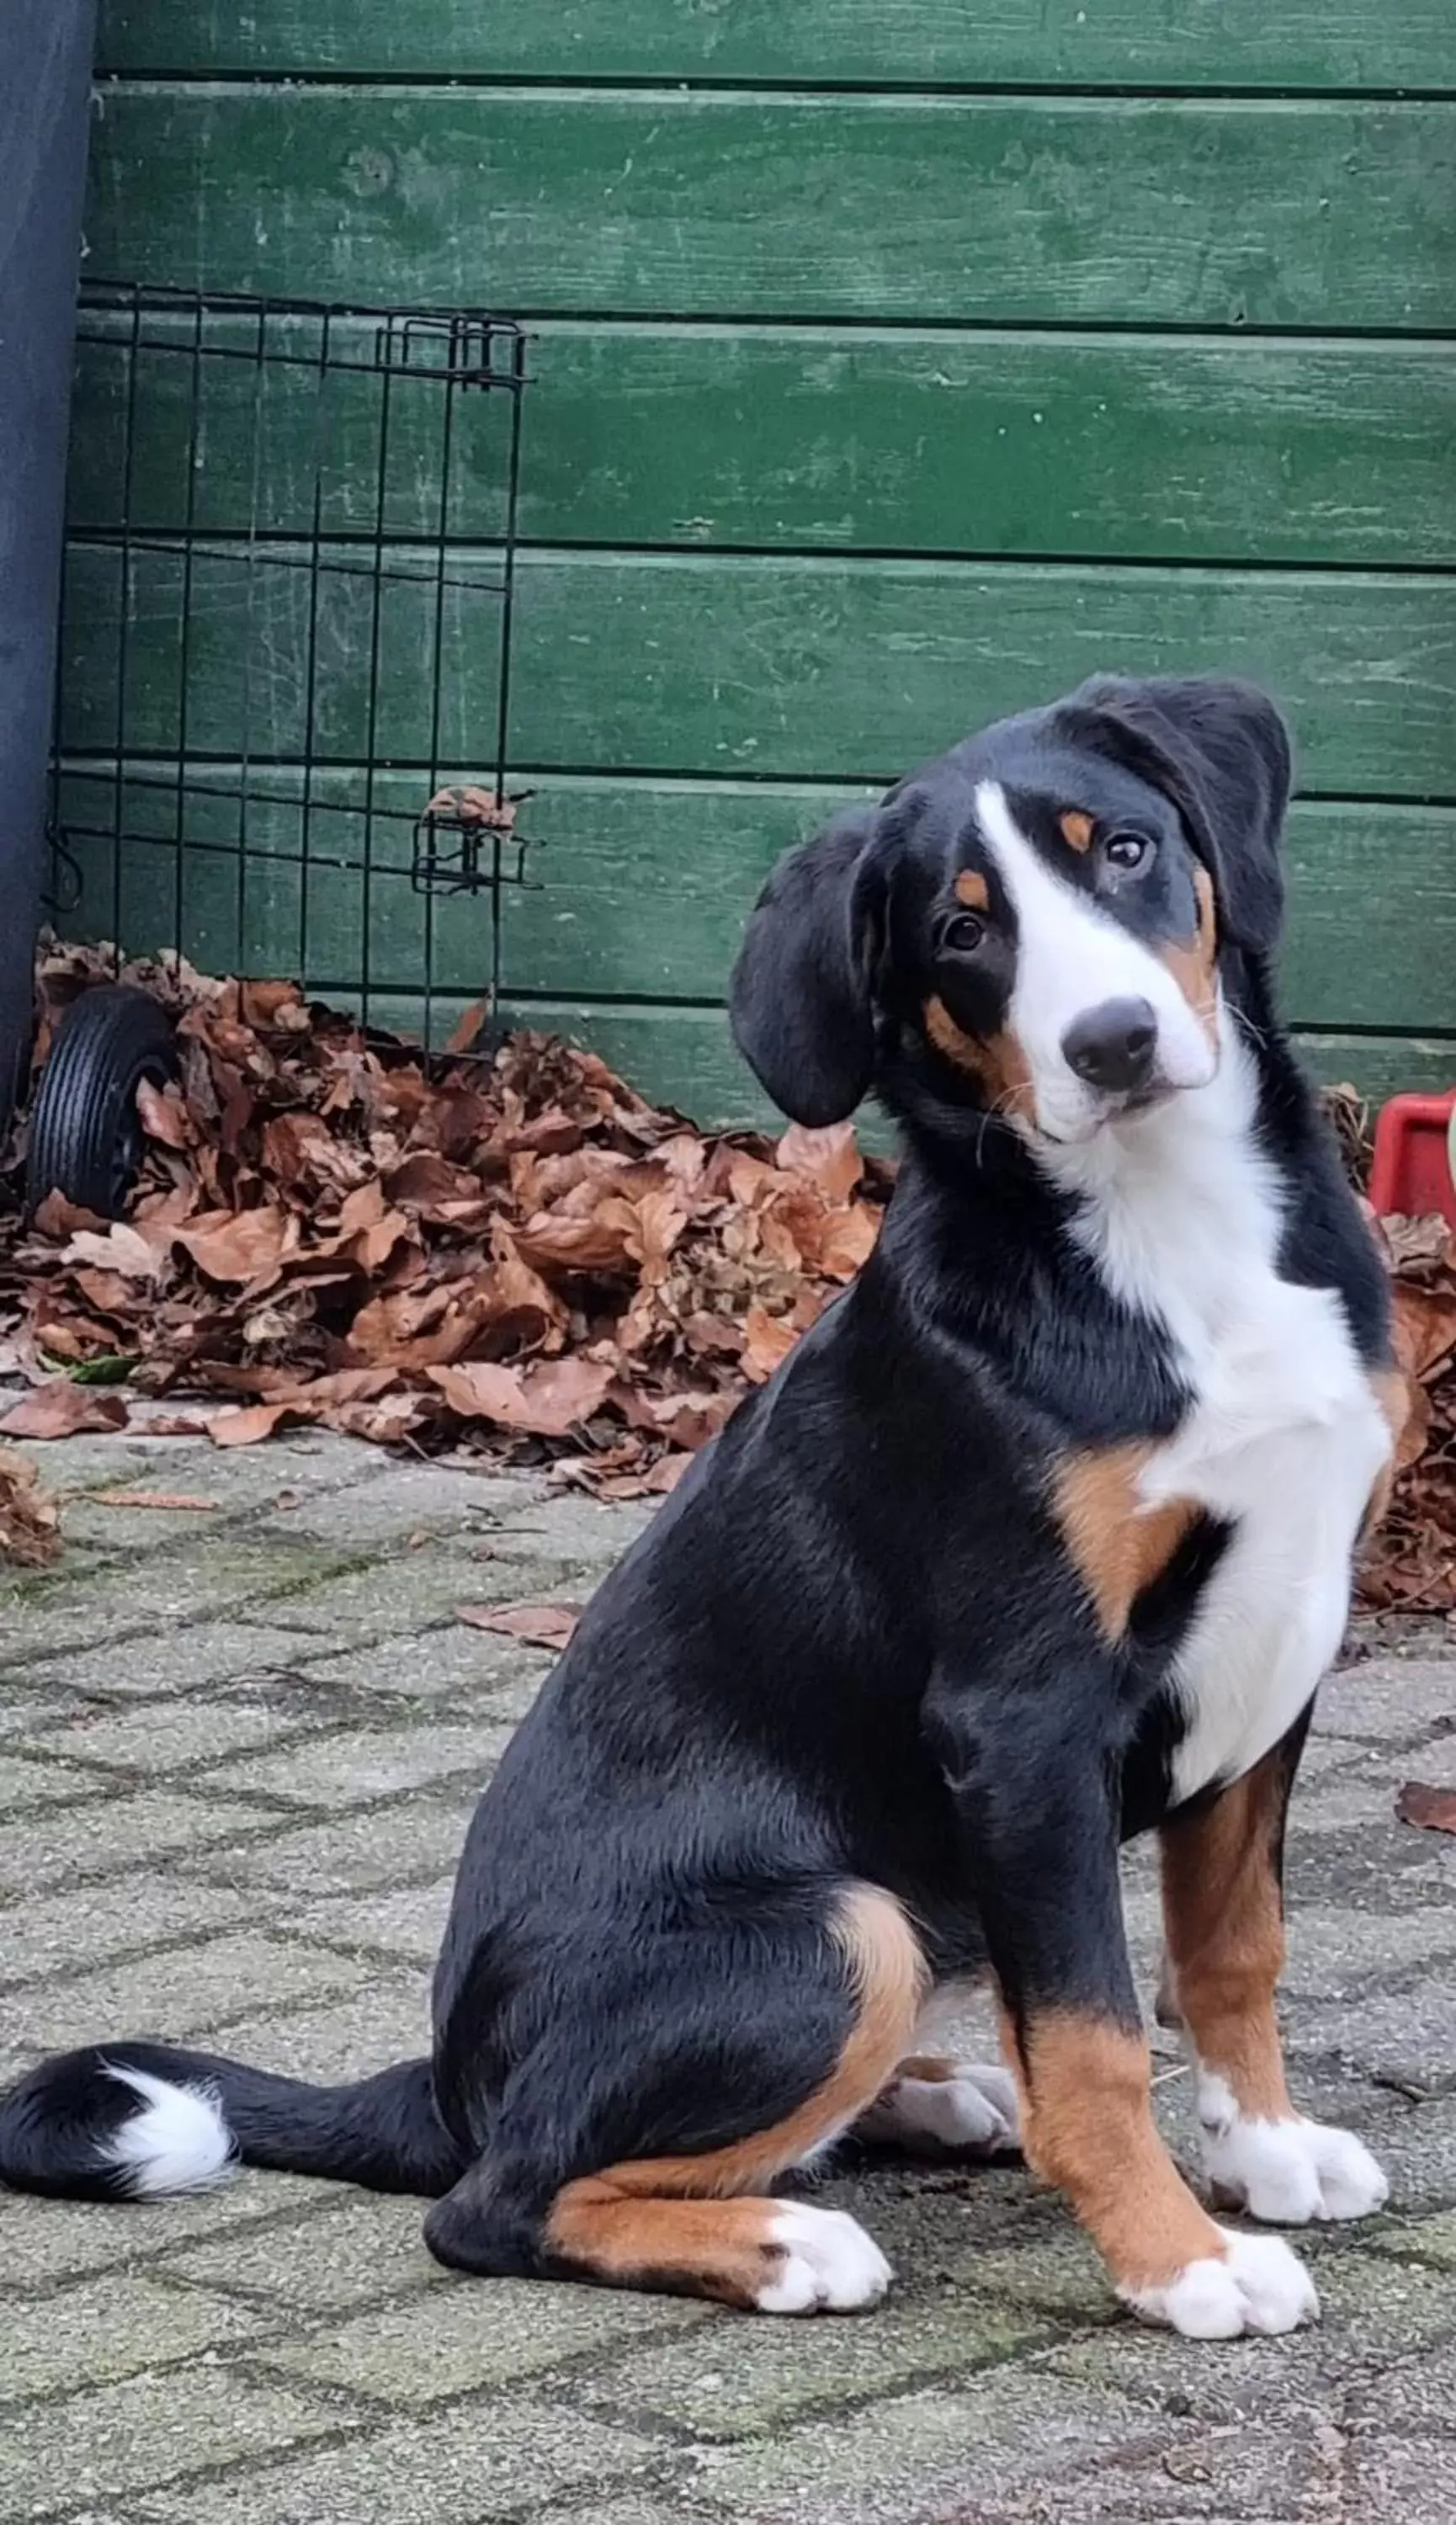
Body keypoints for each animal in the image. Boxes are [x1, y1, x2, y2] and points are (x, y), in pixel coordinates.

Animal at [3, 677, 1413, 2343]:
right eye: (961, 929)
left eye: (1122, 848)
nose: (1115, 1041)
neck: (1165, 1230)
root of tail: (452, 2077)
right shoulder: (1026, 1711)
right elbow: (1091, 2033)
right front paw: (1179, 2259)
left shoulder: (1277, 1641)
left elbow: (1232, 1948)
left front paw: (1264, 2152)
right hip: (843, 1930)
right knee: (498, 2202)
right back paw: (786, 2242)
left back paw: (926, 2100)